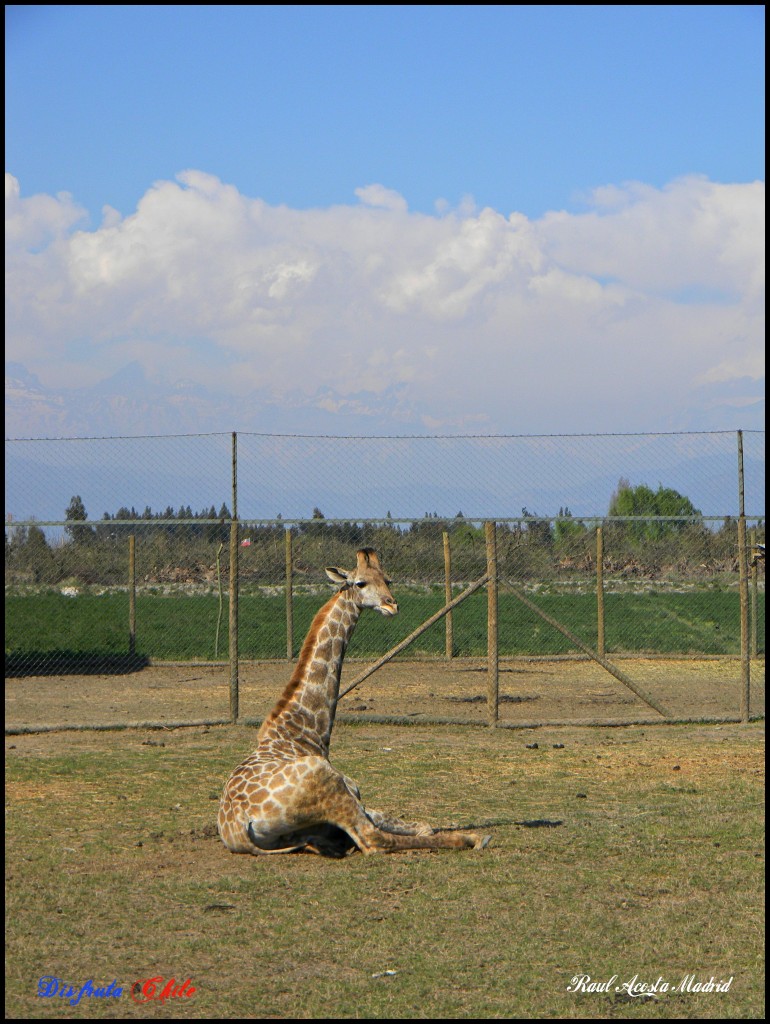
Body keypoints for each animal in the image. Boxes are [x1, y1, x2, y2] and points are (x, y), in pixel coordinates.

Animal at [219, 552, 489, 856]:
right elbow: (416, 827)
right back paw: (473, 838)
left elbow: (421, 825)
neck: (303, 731)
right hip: (328, 786)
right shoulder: (352, 793)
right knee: (374, 840)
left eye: (388, 579)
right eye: (360, 583)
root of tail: (240, 827)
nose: (391, 605)